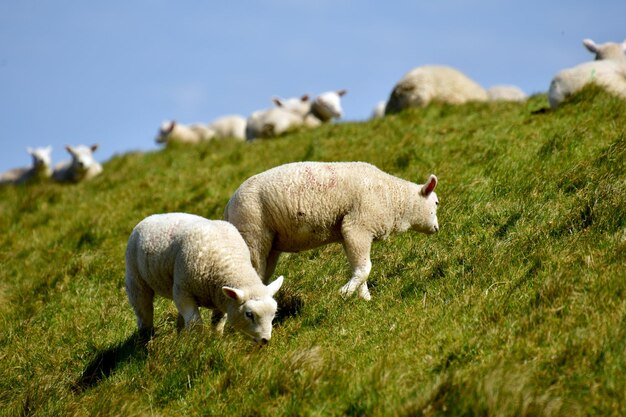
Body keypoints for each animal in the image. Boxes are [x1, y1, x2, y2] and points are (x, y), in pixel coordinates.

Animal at [124, 213, 282, 342]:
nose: (265, 340)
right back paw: (146, 340)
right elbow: (196, 324)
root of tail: (150, 217)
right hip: (136, 279)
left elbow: (217, 323)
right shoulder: (183, 292)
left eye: (274, 313)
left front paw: (215, 340)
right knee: (143, 312)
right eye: (249, 314)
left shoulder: (222, 298)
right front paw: (198, 344)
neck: (228, 261)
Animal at [224, 160, 438, 300]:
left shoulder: (348, 233)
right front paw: (345, 293)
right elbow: (365, 268)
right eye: (436, 203)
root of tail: (228, 207)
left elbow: (359, 269)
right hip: (252, 234)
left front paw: (364, 299)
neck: (393, 198)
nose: (437, 228)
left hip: (269, 245)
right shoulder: (358, 225)